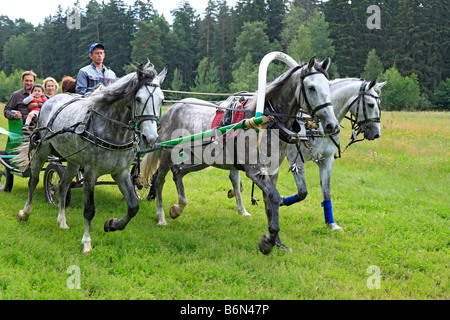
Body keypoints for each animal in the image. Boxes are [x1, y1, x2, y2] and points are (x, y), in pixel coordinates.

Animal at [15, 62, 168, 252]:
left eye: (162, 100)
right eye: (138, 99)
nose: (150, 138)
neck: (113, 130)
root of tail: (51, 100)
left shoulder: (121, 172)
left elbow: (133, 206)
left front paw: (112, 224)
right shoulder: (90, 172)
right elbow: (89, 209)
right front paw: (86, 242)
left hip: (72, 161)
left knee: (63, 186)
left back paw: (62, 221)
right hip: (42, 149)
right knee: (34, 180)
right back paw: (25, 213)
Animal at [141, 58, 338, 255]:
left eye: (328, 86)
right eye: (311, 87)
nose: (332, 125)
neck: (267, 122)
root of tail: (173, 107)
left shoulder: (272, 171)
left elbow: (270, 201)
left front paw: (277, 241)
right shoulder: (254, 170)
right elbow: (274, 197)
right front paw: (268, 241)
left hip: (200, 158)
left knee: (178, 171)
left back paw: (178, 207)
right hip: (167, 153)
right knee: (159, 180)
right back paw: (161, 217)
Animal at [229, 78, 386, 232]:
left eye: (379, 104)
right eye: (371, 104)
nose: (376, 133)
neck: (317, 127)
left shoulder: (327, 160)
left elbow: (326, 191)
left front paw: (332, 224)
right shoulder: (296, 160)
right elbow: (302, 192)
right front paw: (281, 200)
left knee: (234, 176)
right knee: (235, 177)